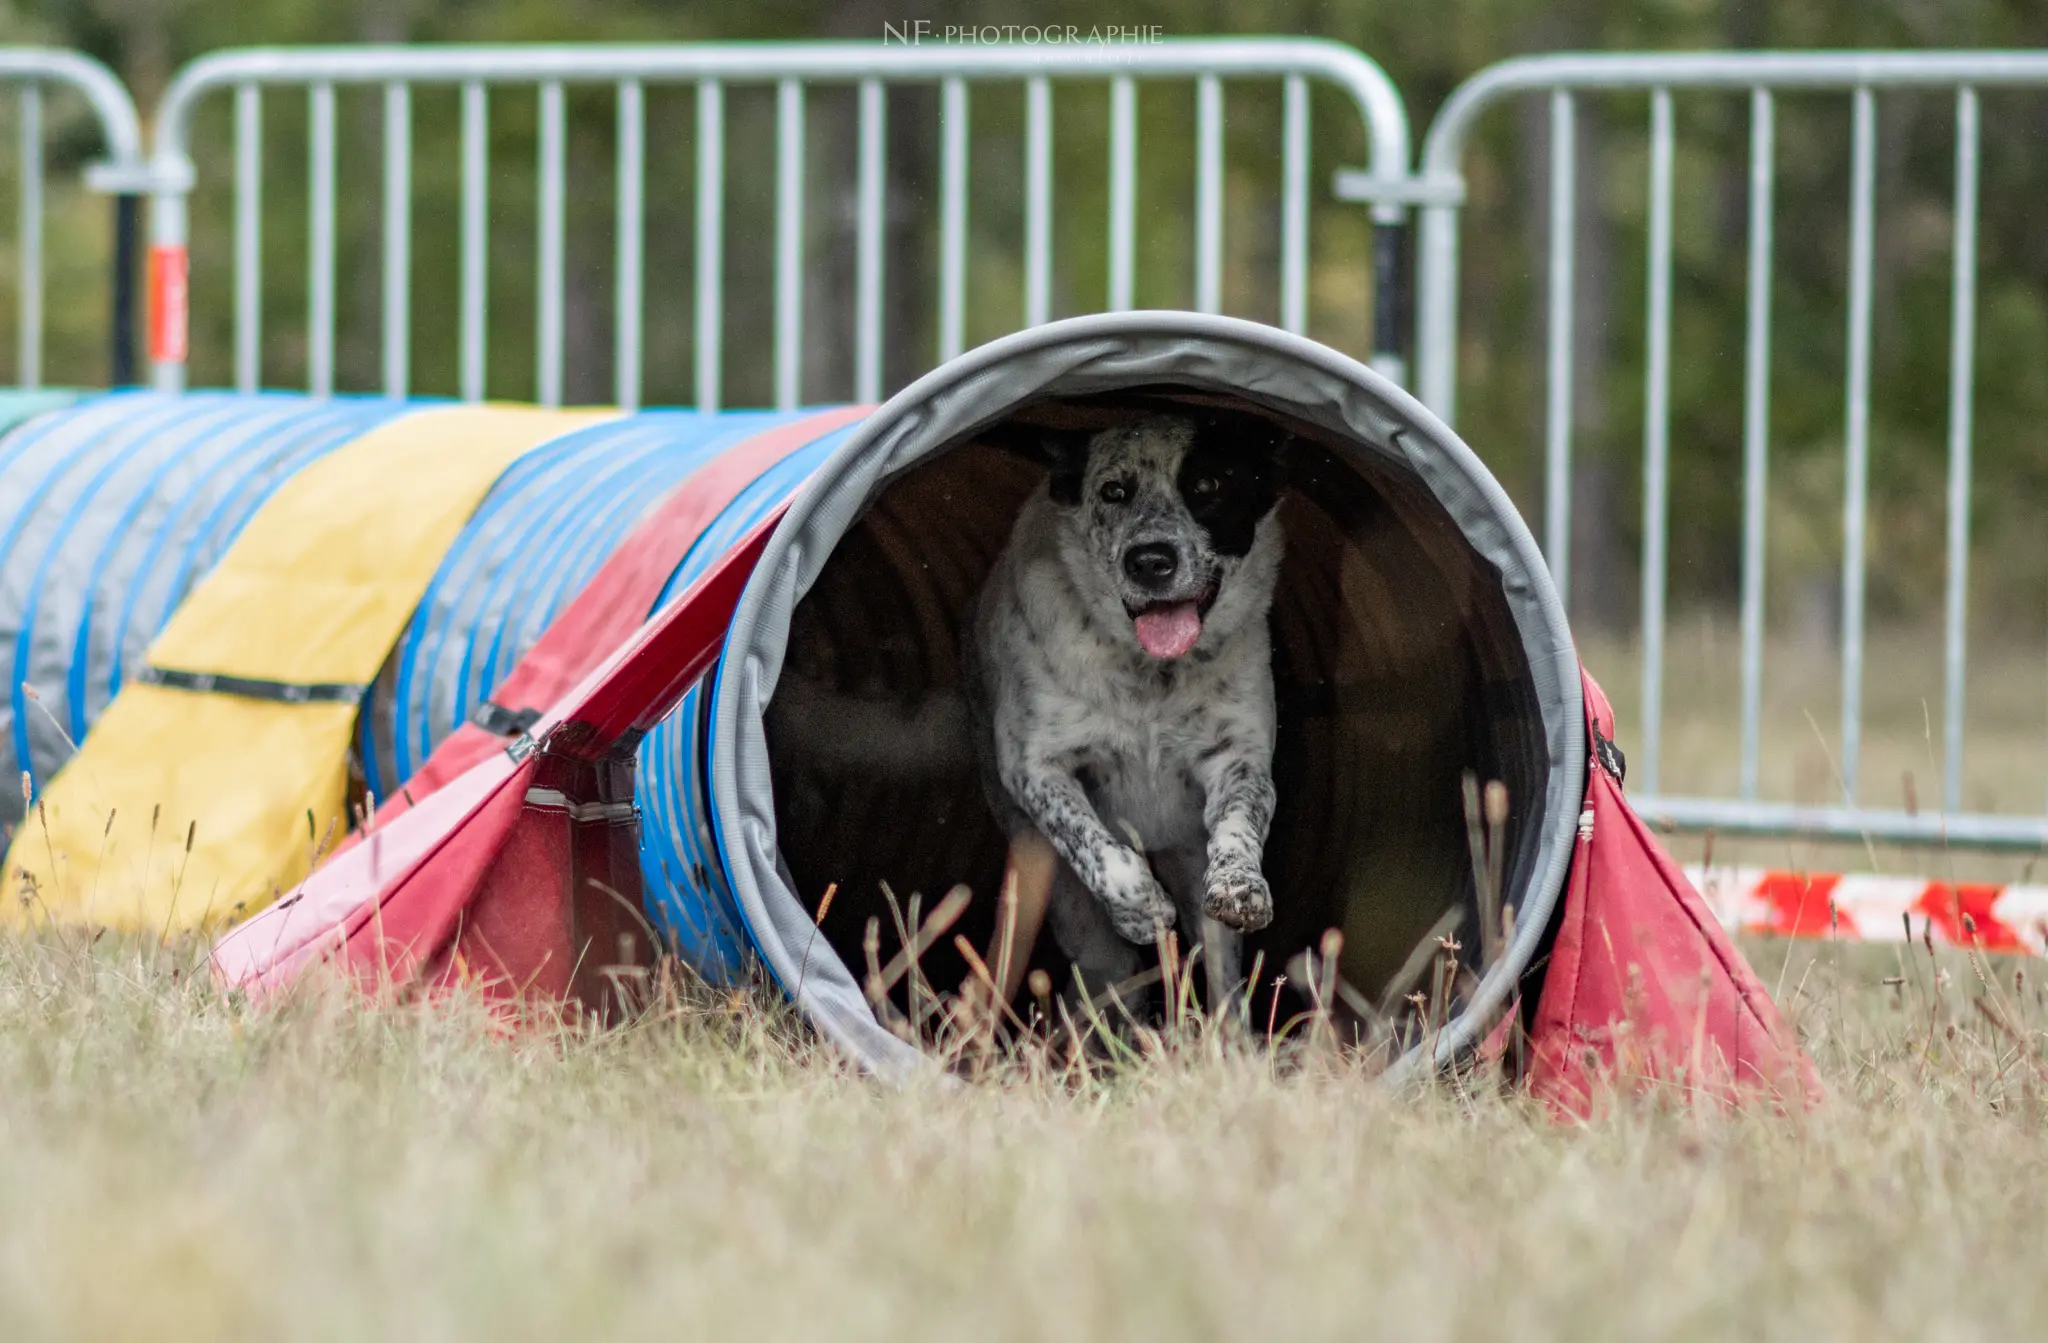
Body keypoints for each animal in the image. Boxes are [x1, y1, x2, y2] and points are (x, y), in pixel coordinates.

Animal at [966, 409, 1286, 1007]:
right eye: (1113, 491)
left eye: (1208, 485)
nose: (1150, 560)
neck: (1150, 677)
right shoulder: (1034, 767)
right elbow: (1101, 852)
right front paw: (1143, 912)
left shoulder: (1240, 760)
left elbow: (1240, 821)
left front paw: (1240, 886)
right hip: (1051, 894)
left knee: (1223, 985)